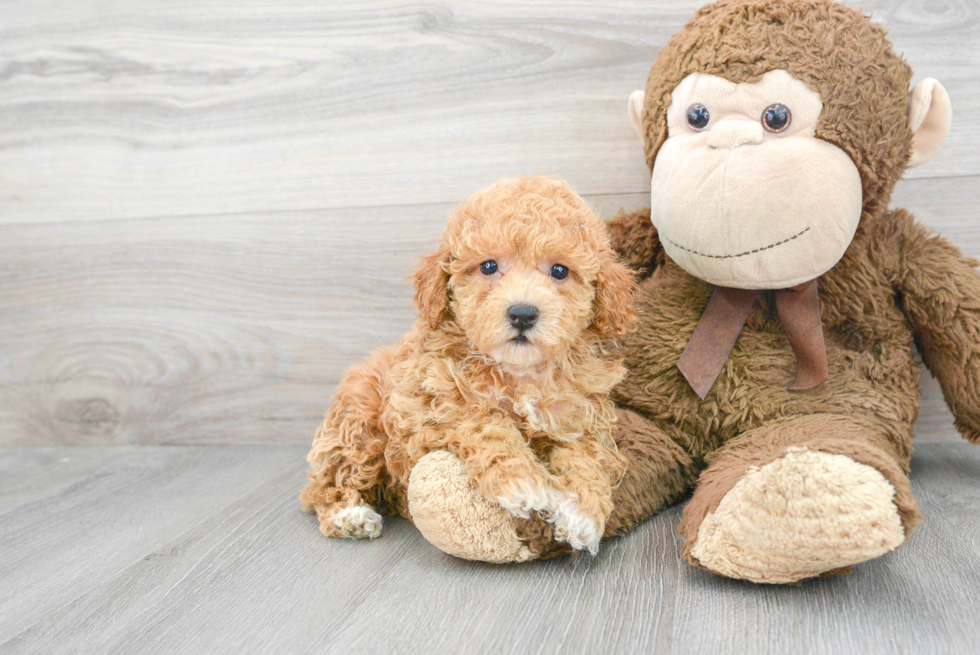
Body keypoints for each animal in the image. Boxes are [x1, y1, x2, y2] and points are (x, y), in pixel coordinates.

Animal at [298, 174, 636, 552]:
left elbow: (588, 456)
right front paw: (522, 482)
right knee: (326, 482)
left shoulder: (580, 418)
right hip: (359, 425)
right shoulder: (437, 408)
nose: (522, 313)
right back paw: (349, 515)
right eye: (489, 266)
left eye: (560, 271)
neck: (519, 373)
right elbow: (488, 426)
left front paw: (583, 513)